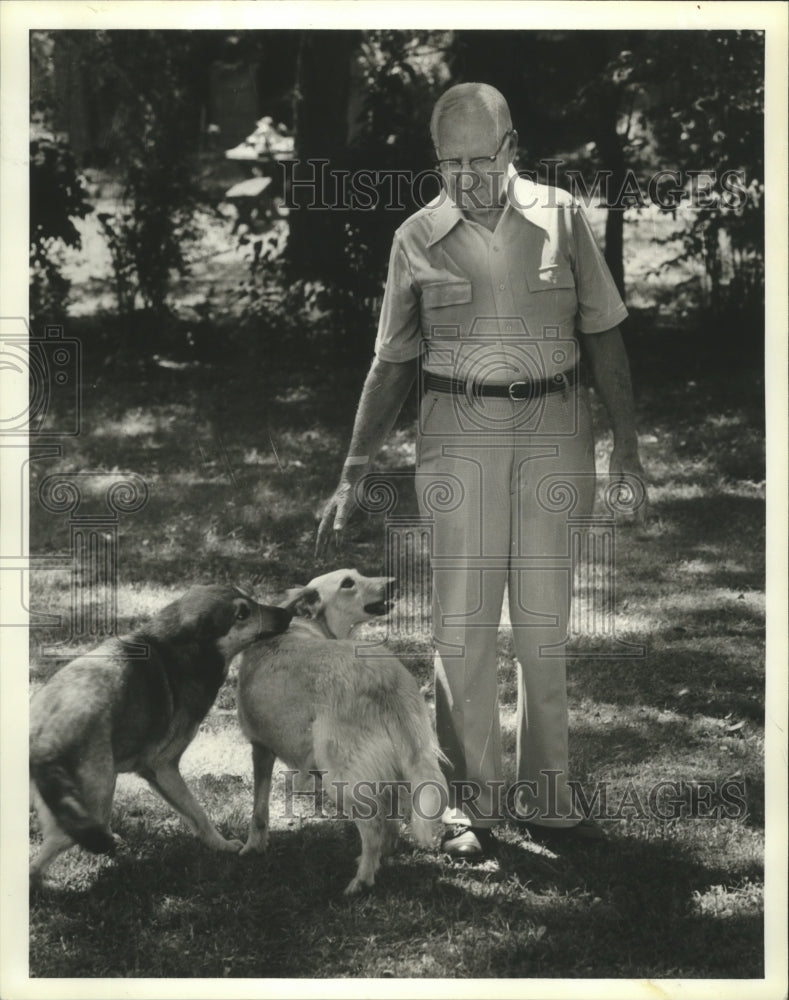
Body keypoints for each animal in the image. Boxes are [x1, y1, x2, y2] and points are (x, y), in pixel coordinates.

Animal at [30, 584, 292, 884]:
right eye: (242, 613)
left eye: (249, 600)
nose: (288, 614)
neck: (178, 648)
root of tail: (45, 738)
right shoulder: (164, 768)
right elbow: (198, 813)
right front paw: (222, 845)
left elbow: (192, 815)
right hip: (100, 791)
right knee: (51, 850)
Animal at [234, 572, 446, 900]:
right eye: (348, 581)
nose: (392, 582)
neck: (305, 625)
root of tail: (382, 675)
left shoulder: (261, 749)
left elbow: (259, 810)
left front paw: (252, 848)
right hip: (395, 764)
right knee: (390, 820)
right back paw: (379, 859)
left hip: (340, 777)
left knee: (373, 827)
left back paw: (361, 881)